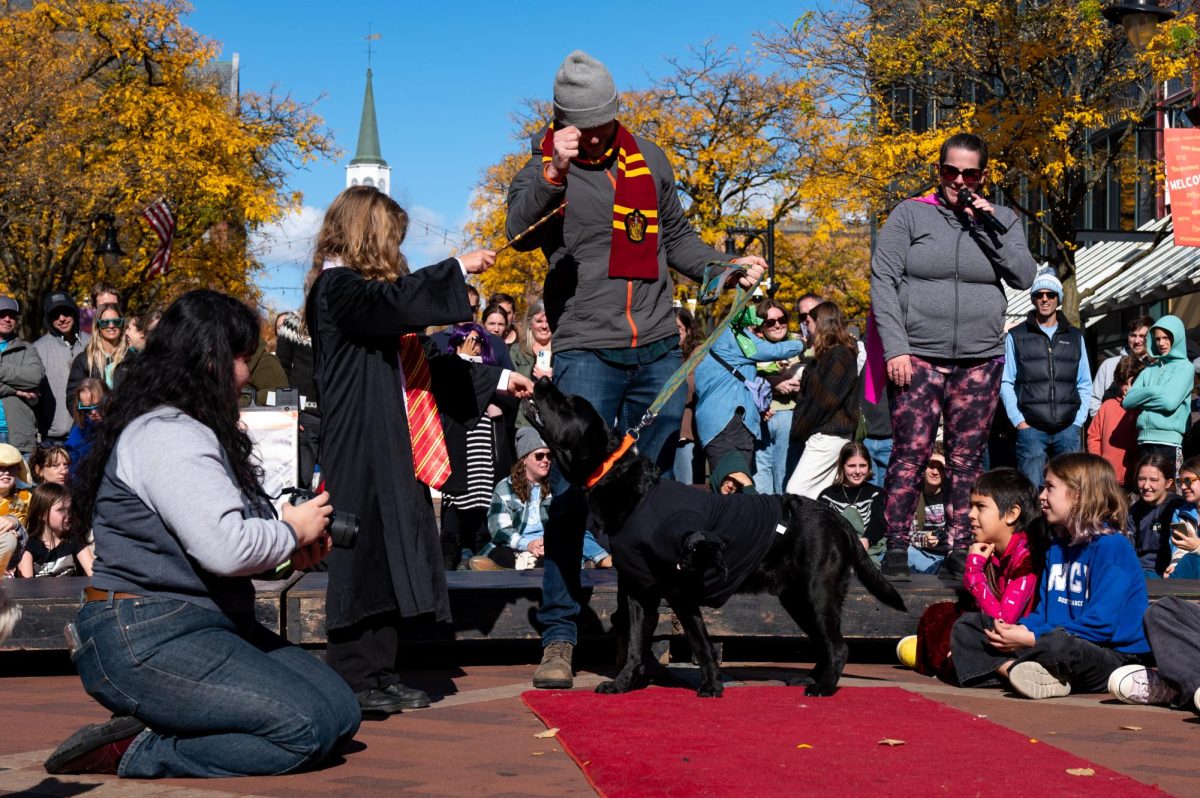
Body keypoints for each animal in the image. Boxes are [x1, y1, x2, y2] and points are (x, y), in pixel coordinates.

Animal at [520, 376, 902, 696]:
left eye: (570, 403)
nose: (542, 379)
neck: (628, 486)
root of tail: (834, 515)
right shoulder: (638, 591)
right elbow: (635, 646)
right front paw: (623, 684)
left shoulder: (679, 589)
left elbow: (700, 641)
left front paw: (711, 687)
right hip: (796, 598)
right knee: (825, 644)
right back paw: (810, 678)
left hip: (815, 592)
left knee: (838, 646)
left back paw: (823, 687)